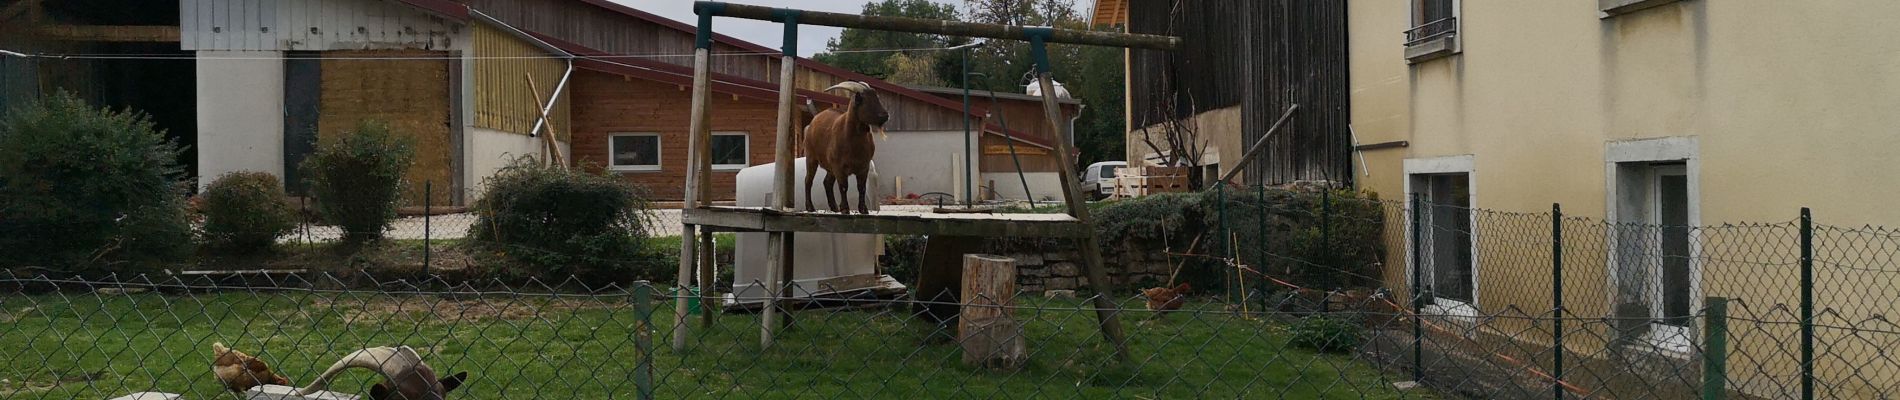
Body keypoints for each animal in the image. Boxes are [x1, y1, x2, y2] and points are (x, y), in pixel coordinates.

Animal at [801, 79, 889, 214]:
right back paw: (810, 207)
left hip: (830, 166)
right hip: (812, 158)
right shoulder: (839, 166)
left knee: (827, 182)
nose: (885, 115)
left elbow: (862, 187)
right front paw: (845, 208)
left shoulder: (864, 166)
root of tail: (813, 121)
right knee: (808, 180)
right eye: (865, 100)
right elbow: (843, 187)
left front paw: (863, 209)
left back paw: (834, 207)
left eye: (876, 97)